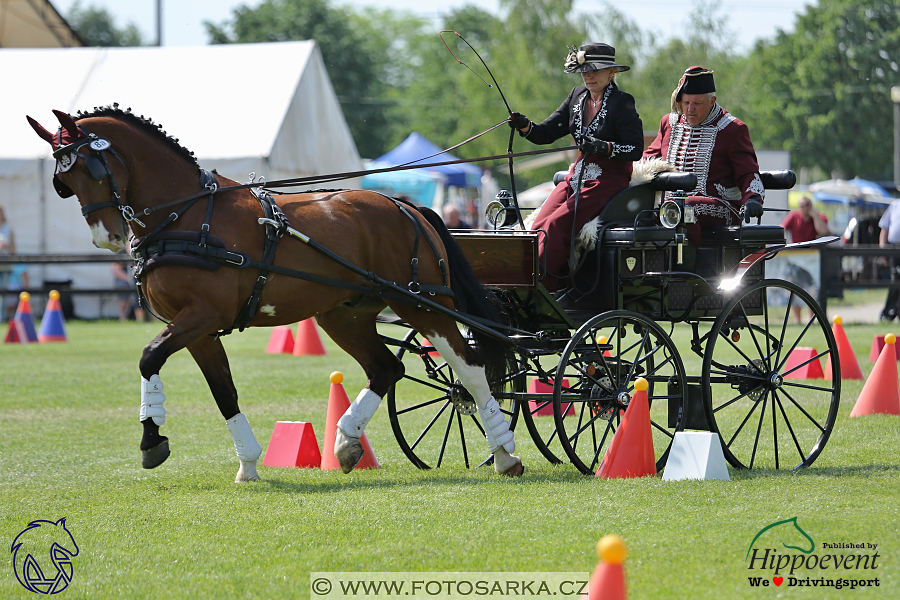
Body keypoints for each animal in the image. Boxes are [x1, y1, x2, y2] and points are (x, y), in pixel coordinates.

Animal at [28, 106, 520, 482]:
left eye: (92, 169)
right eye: (63, 182)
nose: (106, 237)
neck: (187, 216)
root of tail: (405, 205)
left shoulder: (201, 316)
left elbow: (149, 358)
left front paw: (152, 440)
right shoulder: (197, 330)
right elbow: (223, 392)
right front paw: (248, 464)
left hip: (422, 304)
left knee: (470, 371)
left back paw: (505, 453)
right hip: (344, 314)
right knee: (387, 368)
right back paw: (346, 441)